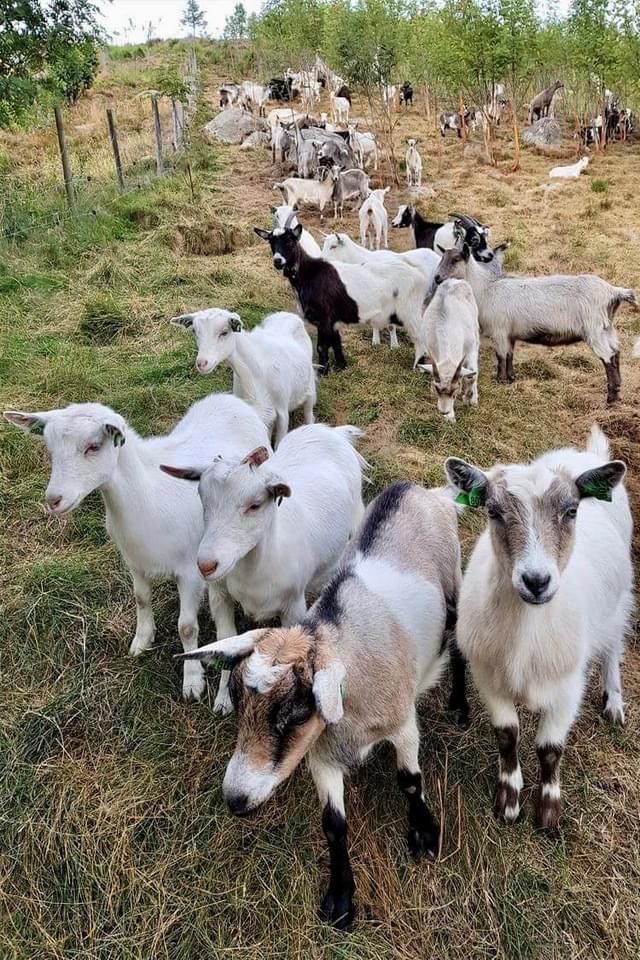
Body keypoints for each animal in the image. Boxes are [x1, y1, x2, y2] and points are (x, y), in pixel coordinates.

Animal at [162, 424, 368, 632]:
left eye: (255, 505)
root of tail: (330, 431)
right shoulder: (219, 593)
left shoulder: (293, 606)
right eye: (202, 498)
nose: (206, 566)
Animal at [254, 224, 424, 372]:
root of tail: (417, 274)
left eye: (290, 241)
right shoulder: (332, 319)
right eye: (271, 242)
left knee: (420, 337)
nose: (278, 261)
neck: (309, 274)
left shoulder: (324, 316)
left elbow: (322, 346)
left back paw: (419, 367)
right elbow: (336, 342)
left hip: (410, 312)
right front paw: (341, 366)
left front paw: (323, 371)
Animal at [418, 276, 478, 418]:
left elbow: (472, 375)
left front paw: (469, 399)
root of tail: (455, 280)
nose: (443, 411)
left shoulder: (471, 347)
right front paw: (450, 416)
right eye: (436, 389)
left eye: (455, 392)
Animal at [432, 234, 636, 404]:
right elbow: (510, 355)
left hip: (594, 330)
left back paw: (611, 398)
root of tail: (613, 292)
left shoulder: (499, 331)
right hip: (606, 328)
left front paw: (500, 380)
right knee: (616, 353)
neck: (485, 288)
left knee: (608, 358)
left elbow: (501, 357)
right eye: (442, 257)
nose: (437, 278)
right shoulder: (509, 334)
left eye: (456, 259)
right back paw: (617, 392)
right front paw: (511, 378)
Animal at [444, 426, 636, 832]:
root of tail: (585, 455)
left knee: (613, 642)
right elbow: (507, 735)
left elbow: (550, 749)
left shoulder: (568, 687)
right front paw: (509, 801)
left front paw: (547, 813)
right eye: (492, 510)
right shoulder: (489, 677)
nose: (536, 581)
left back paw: (613, 700)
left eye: (572, 511)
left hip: (619, 598)